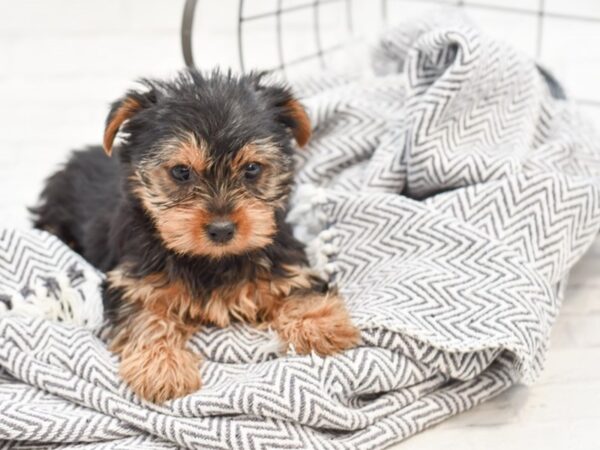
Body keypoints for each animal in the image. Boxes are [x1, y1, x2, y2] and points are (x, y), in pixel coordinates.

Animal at [32, 71, 358, 404]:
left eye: (252, 169)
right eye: (181, 172)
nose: (222, 229)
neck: (210, 260)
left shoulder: (283, 262)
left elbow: (298, 289)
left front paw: (319, 324)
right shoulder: (133, 281)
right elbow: (145, 316)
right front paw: (161, 366)